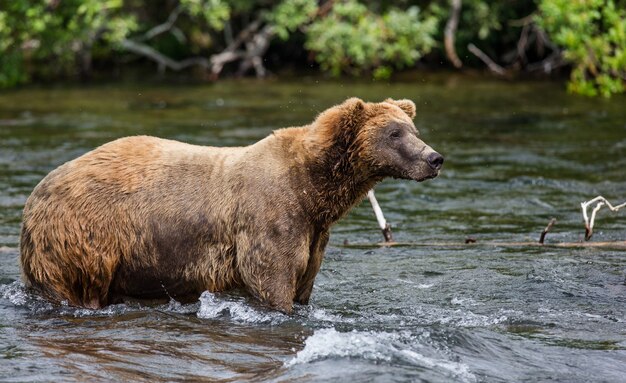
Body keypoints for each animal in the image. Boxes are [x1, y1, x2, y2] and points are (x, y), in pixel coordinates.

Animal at [18, 97, 438, 314]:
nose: (434, 158)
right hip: (84, 237)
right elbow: (272, 280)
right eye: (394, 133)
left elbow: (303, 281)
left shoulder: (314, 234)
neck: (313, 190)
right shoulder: (271, 219)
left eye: (412, 130)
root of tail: (35, 195)